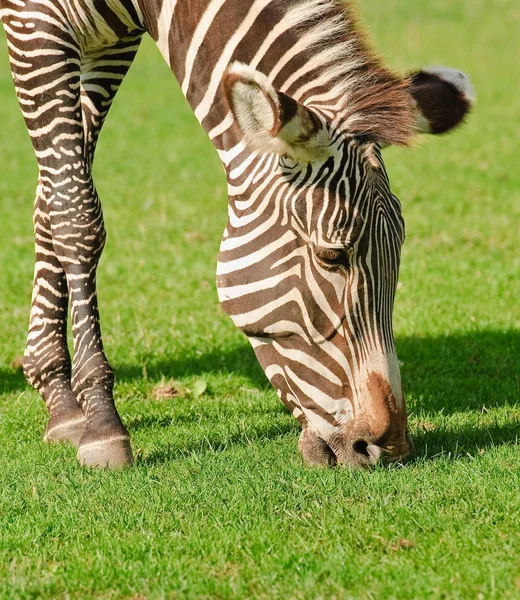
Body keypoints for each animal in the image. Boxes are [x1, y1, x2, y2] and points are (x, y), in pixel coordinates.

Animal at [0, 0, 474, 468]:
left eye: (400, 252)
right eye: (331, 256)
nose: (388, 449)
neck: (149, 8)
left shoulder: (110, 44)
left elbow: (51, 198)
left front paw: (61, 401)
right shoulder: (33, 22)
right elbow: (74, 211)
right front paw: (100, 421)